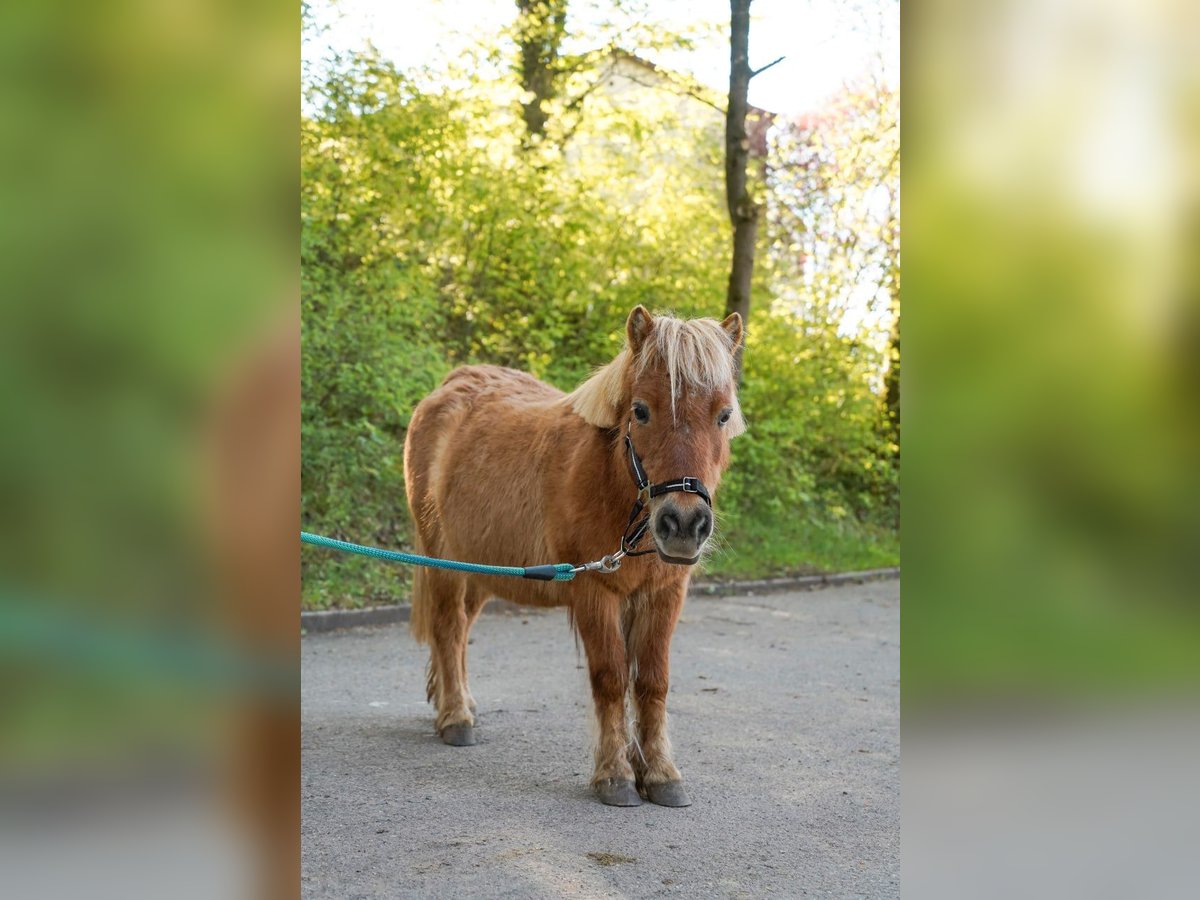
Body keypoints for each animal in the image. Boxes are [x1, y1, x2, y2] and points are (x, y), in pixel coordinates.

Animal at [403, 307, 739, 806]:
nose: (683, 524)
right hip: (442, 560)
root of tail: (447, 388)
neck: (611, 485)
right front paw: (615, 775)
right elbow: (611, 677)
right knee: (447, 628)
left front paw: (660, 773)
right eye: (641, 410)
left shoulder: (663, 595)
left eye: (724, 414)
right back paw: (456, 717)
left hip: (481, 568)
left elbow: (652, 681)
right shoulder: (594, 591)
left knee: (461, 631)